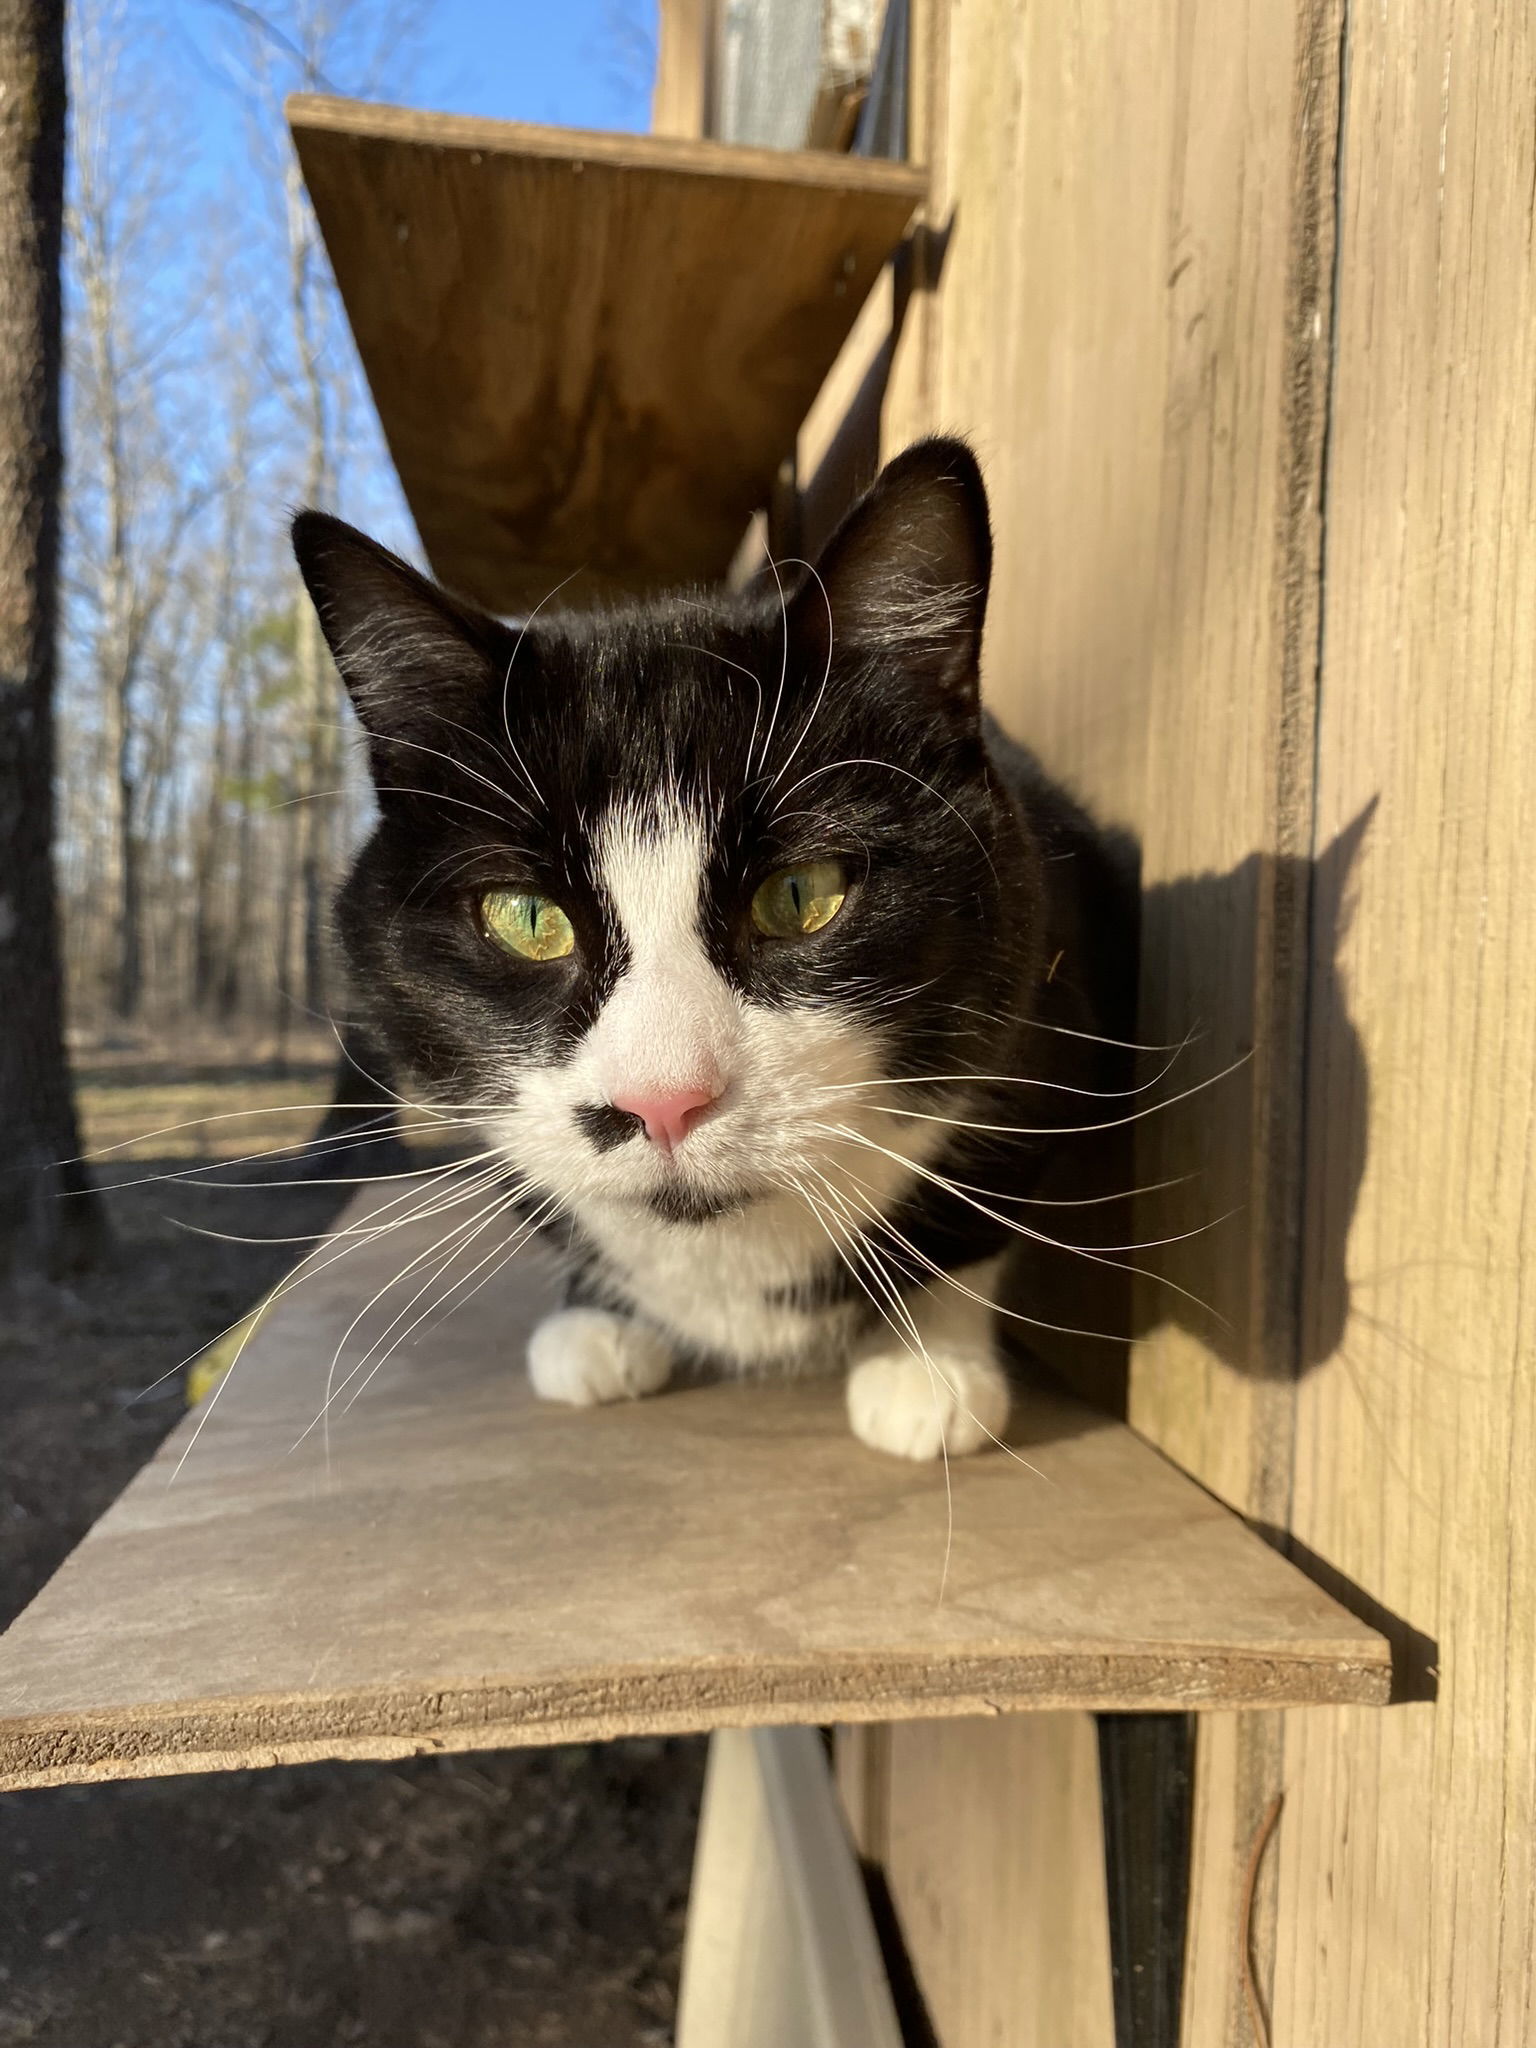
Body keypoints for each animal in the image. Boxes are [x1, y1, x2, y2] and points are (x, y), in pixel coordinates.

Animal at [290, 438, 1130, 1458]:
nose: (662, 1100)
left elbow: (981, 1210)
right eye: (525, 917)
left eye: (802, 895)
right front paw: (598, 1320)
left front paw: (927, 1366)